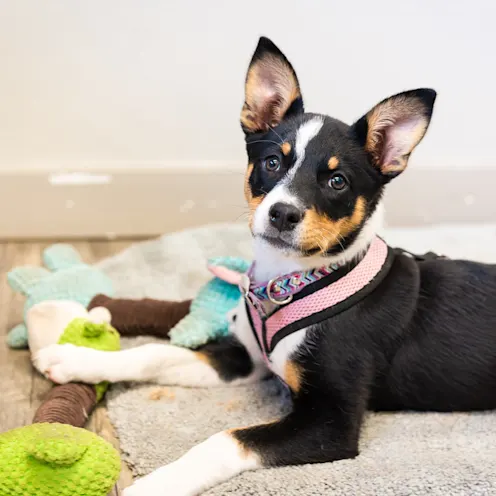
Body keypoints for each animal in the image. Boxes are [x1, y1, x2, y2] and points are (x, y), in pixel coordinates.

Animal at [34, 35, 496, 496]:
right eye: (273, 162)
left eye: (337, 181)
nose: (282, 214)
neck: (292, 280)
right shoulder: (247, 358)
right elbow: (155, 353)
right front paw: (75, 359)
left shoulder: (331, 422)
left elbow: (225, 440)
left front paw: (154, 485)